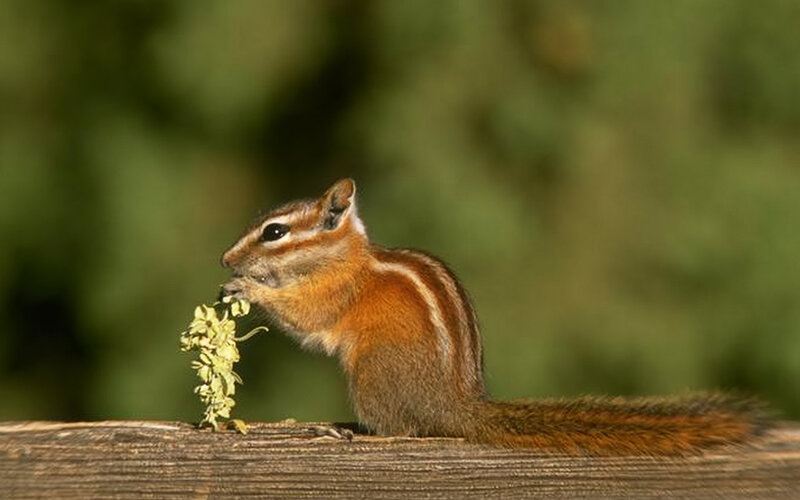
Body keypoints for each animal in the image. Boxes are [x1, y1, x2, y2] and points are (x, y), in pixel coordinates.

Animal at [220, 178, 769, 455]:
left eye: (274, 232)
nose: (225, 260)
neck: (346, 256)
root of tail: (457, 408)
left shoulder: (335, 293)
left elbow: (306, 316)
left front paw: (248, 288)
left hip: (371, 372)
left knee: (406, 430)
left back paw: (354, 433)